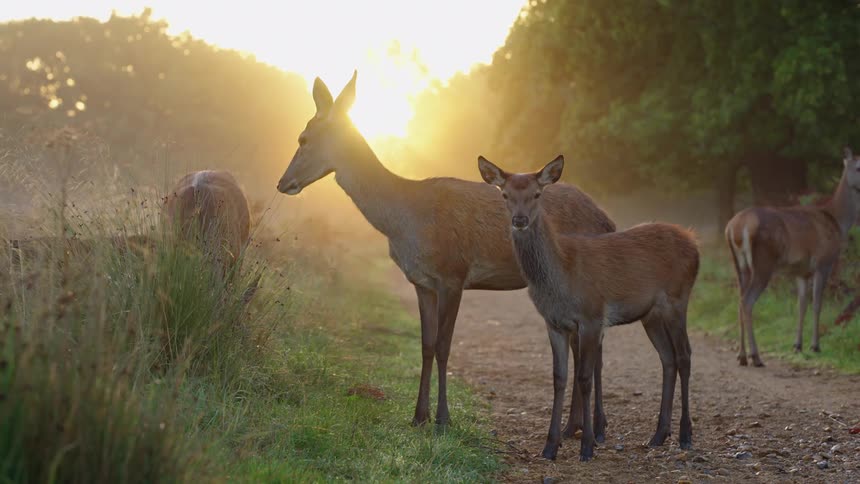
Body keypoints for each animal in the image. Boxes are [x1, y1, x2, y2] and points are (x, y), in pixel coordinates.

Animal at [276, 71, 617, 435]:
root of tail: (607, 220)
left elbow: (443, 346)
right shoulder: (422, 281)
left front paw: (442, 419)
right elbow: (425, 345)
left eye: (303, 138)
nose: (282, 183)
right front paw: (418, 416)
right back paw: (578, 425)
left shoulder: (453, 273)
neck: (405, 220)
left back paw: (581, 427)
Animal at [478, 155, 699, 461]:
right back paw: (658, 435)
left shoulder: (592, 316)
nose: (519, 220)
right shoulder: (554, 323)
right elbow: (559, 377)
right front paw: (550, 446)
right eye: (505, 195)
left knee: (685, 355)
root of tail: (695, 244)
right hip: (651, 314)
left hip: (678, 299)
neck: (560, 277)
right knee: (668, 358)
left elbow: (584, 377)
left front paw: (588, 445)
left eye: (537, 194)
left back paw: (685, 435)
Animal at [725, 148, 860, 367]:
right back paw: (755, 356)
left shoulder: (801, 271)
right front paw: (815, 346)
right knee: (747, 301)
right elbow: (817, 304)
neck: (837, 222)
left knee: (738, 300)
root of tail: (735, 227)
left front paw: (797, 345)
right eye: (858, 167)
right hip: (763, 261)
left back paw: (742, 356)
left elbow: (801, 305)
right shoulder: (824, 261)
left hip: (739, 264)